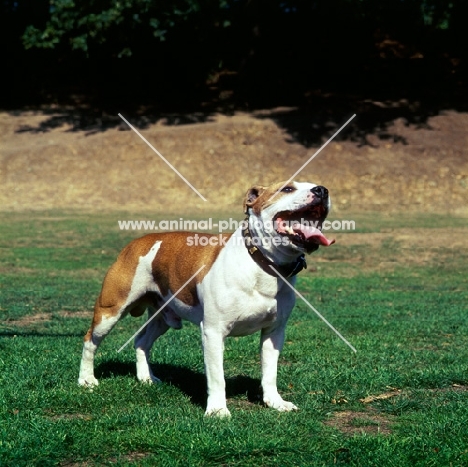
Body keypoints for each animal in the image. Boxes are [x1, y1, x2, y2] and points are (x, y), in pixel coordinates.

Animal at [81, 181, 336, 418]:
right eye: (287, 188)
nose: (322, 190)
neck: (263, 263)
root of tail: (137, 242)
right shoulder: (214, 332)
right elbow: (217, 376)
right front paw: (217, 410)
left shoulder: (274, 332)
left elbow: (270, 372)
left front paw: (275, 402)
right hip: (111, 309)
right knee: (90, 340)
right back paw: (86, 380)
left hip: (163, 316)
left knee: (142, 341)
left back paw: (146, 378)